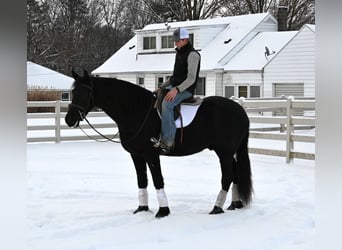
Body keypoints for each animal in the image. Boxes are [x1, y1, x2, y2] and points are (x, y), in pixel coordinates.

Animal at [65, 69, 252, 218]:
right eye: (73, 92)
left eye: (84, 93)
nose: (69, 119)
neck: (136, 110)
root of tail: (241, 111)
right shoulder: (136, 155)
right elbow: (142, 180)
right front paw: (142, 208)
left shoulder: (151, 155)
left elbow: (157, 180)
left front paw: (163, 211)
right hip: (229, 152)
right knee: (235, 174)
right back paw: (234, 204)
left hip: (224, 152)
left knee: (227, 176)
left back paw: (217, 208)